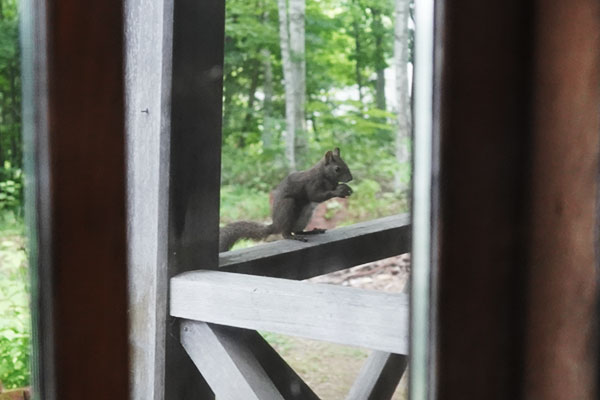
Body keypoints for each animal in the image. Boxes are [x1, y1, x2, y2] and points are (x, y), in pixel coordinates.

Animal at [219, 147, 352, 253]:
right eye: (337, 169)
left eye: (346, 164)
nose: (350, 178)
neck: (325, 176)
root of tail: (276, 224)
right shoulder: (312, 184)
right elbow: (316, 196)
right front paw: (339, 191)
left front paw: (346, 189)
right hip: (287, 207)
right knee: (285, 233)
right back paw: (293, 236)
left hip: (305, 216)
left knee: (297, 230)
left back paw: (310, 232)